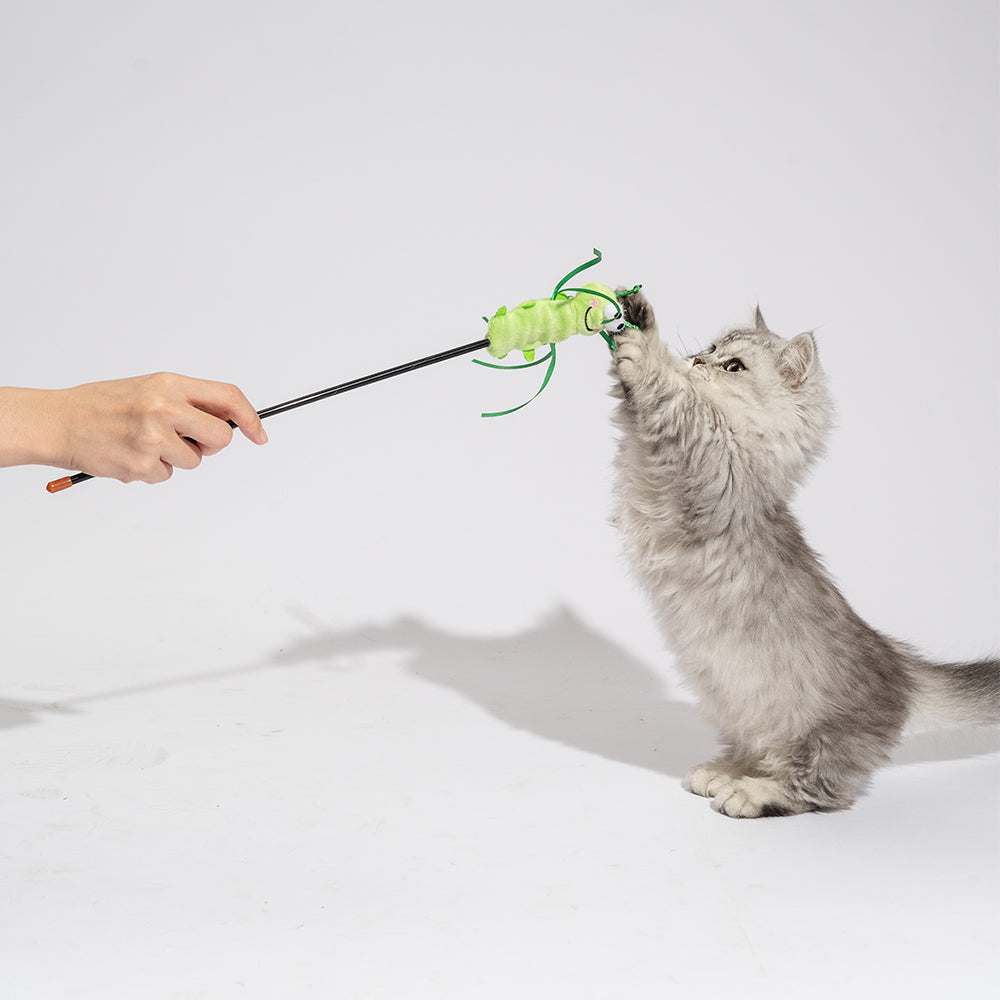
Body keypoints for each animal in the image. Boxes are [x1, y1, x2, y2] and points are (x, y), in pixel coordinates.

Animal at [609, 288, 999, 818]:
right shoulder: (642, 461)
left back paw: (750, 793)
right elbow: (636, 412)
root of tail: (902, 670)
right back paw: (725, 773)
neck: (744, 441)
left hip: (815, 737)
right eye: (711, 348)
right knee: (757, 751)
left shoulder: (701, 453)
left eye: (734, 366)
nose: (696, 360)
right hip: (741, 710)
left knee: (817, 787)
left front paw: (644, 341)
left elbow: (669, 394)